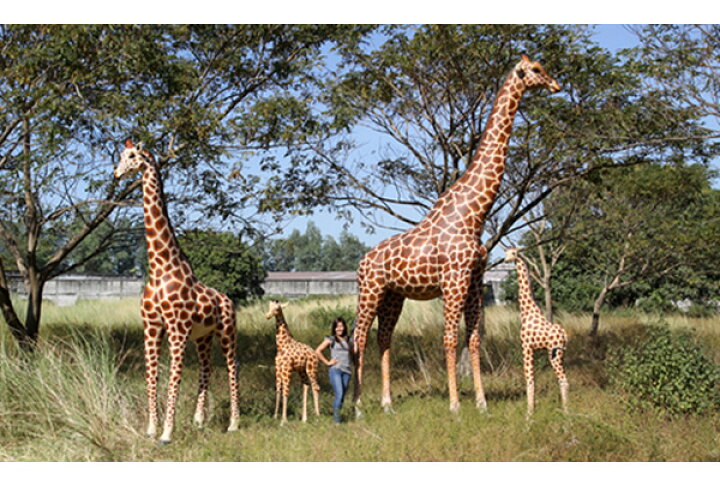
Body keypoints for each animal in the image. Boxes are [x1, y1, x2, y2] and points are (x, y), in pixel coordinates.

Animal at [114, 139, 240, 444]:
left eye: (132, 156)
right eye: (121, 156)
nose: (117, 173)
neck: (160, 267)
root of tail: (228, 300)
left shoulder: (177, 329)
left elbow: (174, 377)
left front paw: (167, 433)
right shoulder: (151, 326)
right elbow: (152, 376)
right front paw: (151, 429)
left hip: (227, 332)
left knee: (233, 368)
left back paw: (233, 424)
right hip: (204, 337)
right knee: (206, 369)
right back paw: (199, 422)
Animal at [352, 54, 561, 415]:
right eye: (535, 69)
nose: (556, 85)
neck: (474, 214)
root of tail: (362, 262)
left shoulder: (474, 279)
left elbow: (473, 338)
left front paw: (481, 402)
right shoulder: (453, 280)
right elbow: (449, 339)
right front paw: (454, 405)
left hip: (393, 296)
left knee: (383, 337)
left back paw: (387, 404)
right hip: (370, 289)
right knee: (357, 337)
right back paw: (357, 405)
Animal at [504, 247, 568, 417]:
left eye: (513, 253)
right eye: (506, 253)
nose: (505, 260)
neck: (527, 312)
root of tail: (564, 335)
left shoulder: (526, 346)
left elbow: (529, 380)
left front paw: (529, 414)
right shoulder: (533, 349)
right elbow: (534, 380)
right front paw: (532, 410)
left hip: (554, 353)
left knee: (563, 380)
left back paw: (567, 414)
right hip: (561, 354)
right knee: (563, 379)